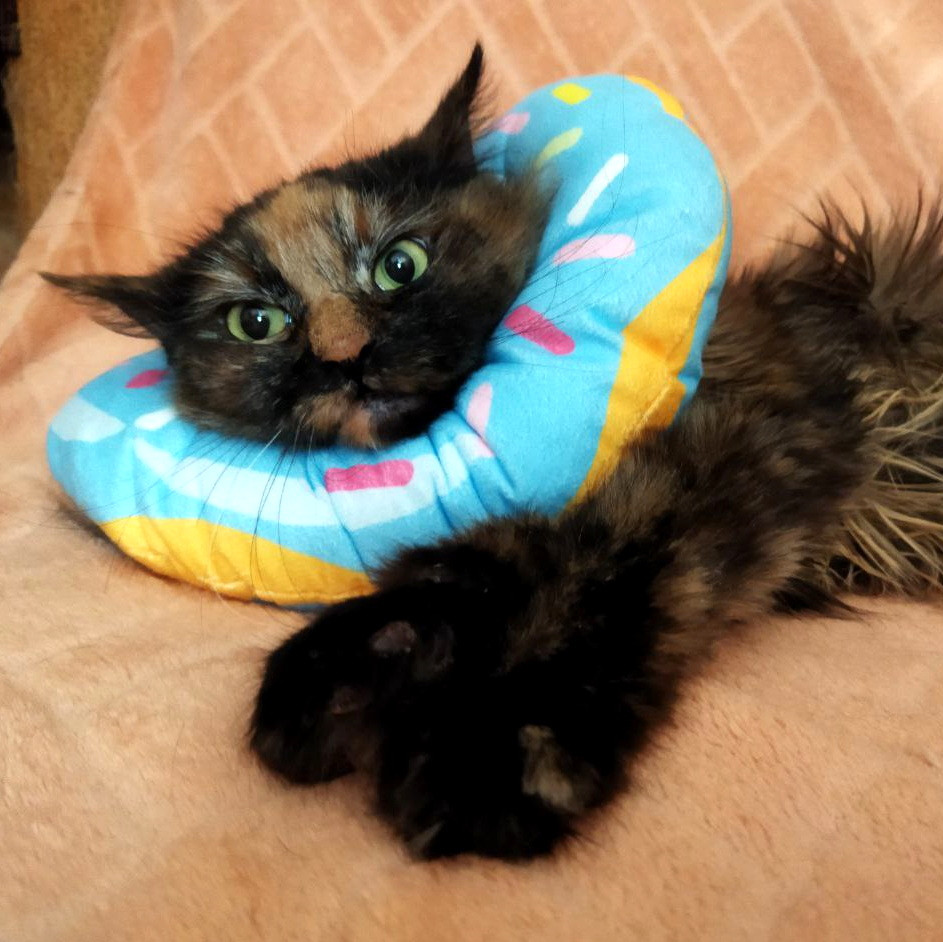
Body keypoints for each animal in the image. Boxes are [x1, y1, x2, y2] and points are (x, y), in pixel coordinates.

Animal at [46, 45, 943, 860]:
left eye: (400, 265)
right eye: (255, 323)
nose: (345, 357)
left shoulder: (729, 455)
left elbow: (601, 582)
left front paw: (485, 755)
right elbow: (465, 567)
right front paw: (351, 672)